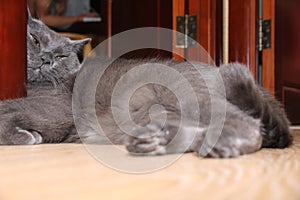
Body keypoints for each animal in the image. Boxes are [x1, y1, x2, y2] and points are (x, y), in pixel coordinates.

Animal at [0, 11, 292, 158]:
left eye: (61, 56)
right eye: (35, 40)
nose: (47, 59)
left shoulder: (57, 109)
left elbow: (8, 111)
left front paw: (27, 136)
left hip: (189, 97)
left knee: (250, 128)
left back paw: (217, 145)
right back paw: (156, 142)